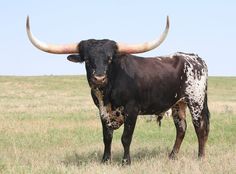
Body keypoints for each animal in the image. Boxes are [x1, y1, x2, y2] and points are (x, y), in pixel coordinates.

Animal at [26, 16, 210, 164]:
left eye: (109, 59)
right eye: (87, 60)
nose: (99, 78)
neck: (108, 91)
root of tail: (194, 58)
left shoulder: (132, 109)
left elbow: (125, 138)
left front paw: (125, 162)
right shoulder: (102, 110)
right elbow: (107, 137)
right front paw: (105, 160)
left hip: (196, 101)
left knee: (200, 127)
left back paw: (201, 157)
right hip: (178, 104)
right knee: (181, 128)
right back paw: (172, 156)